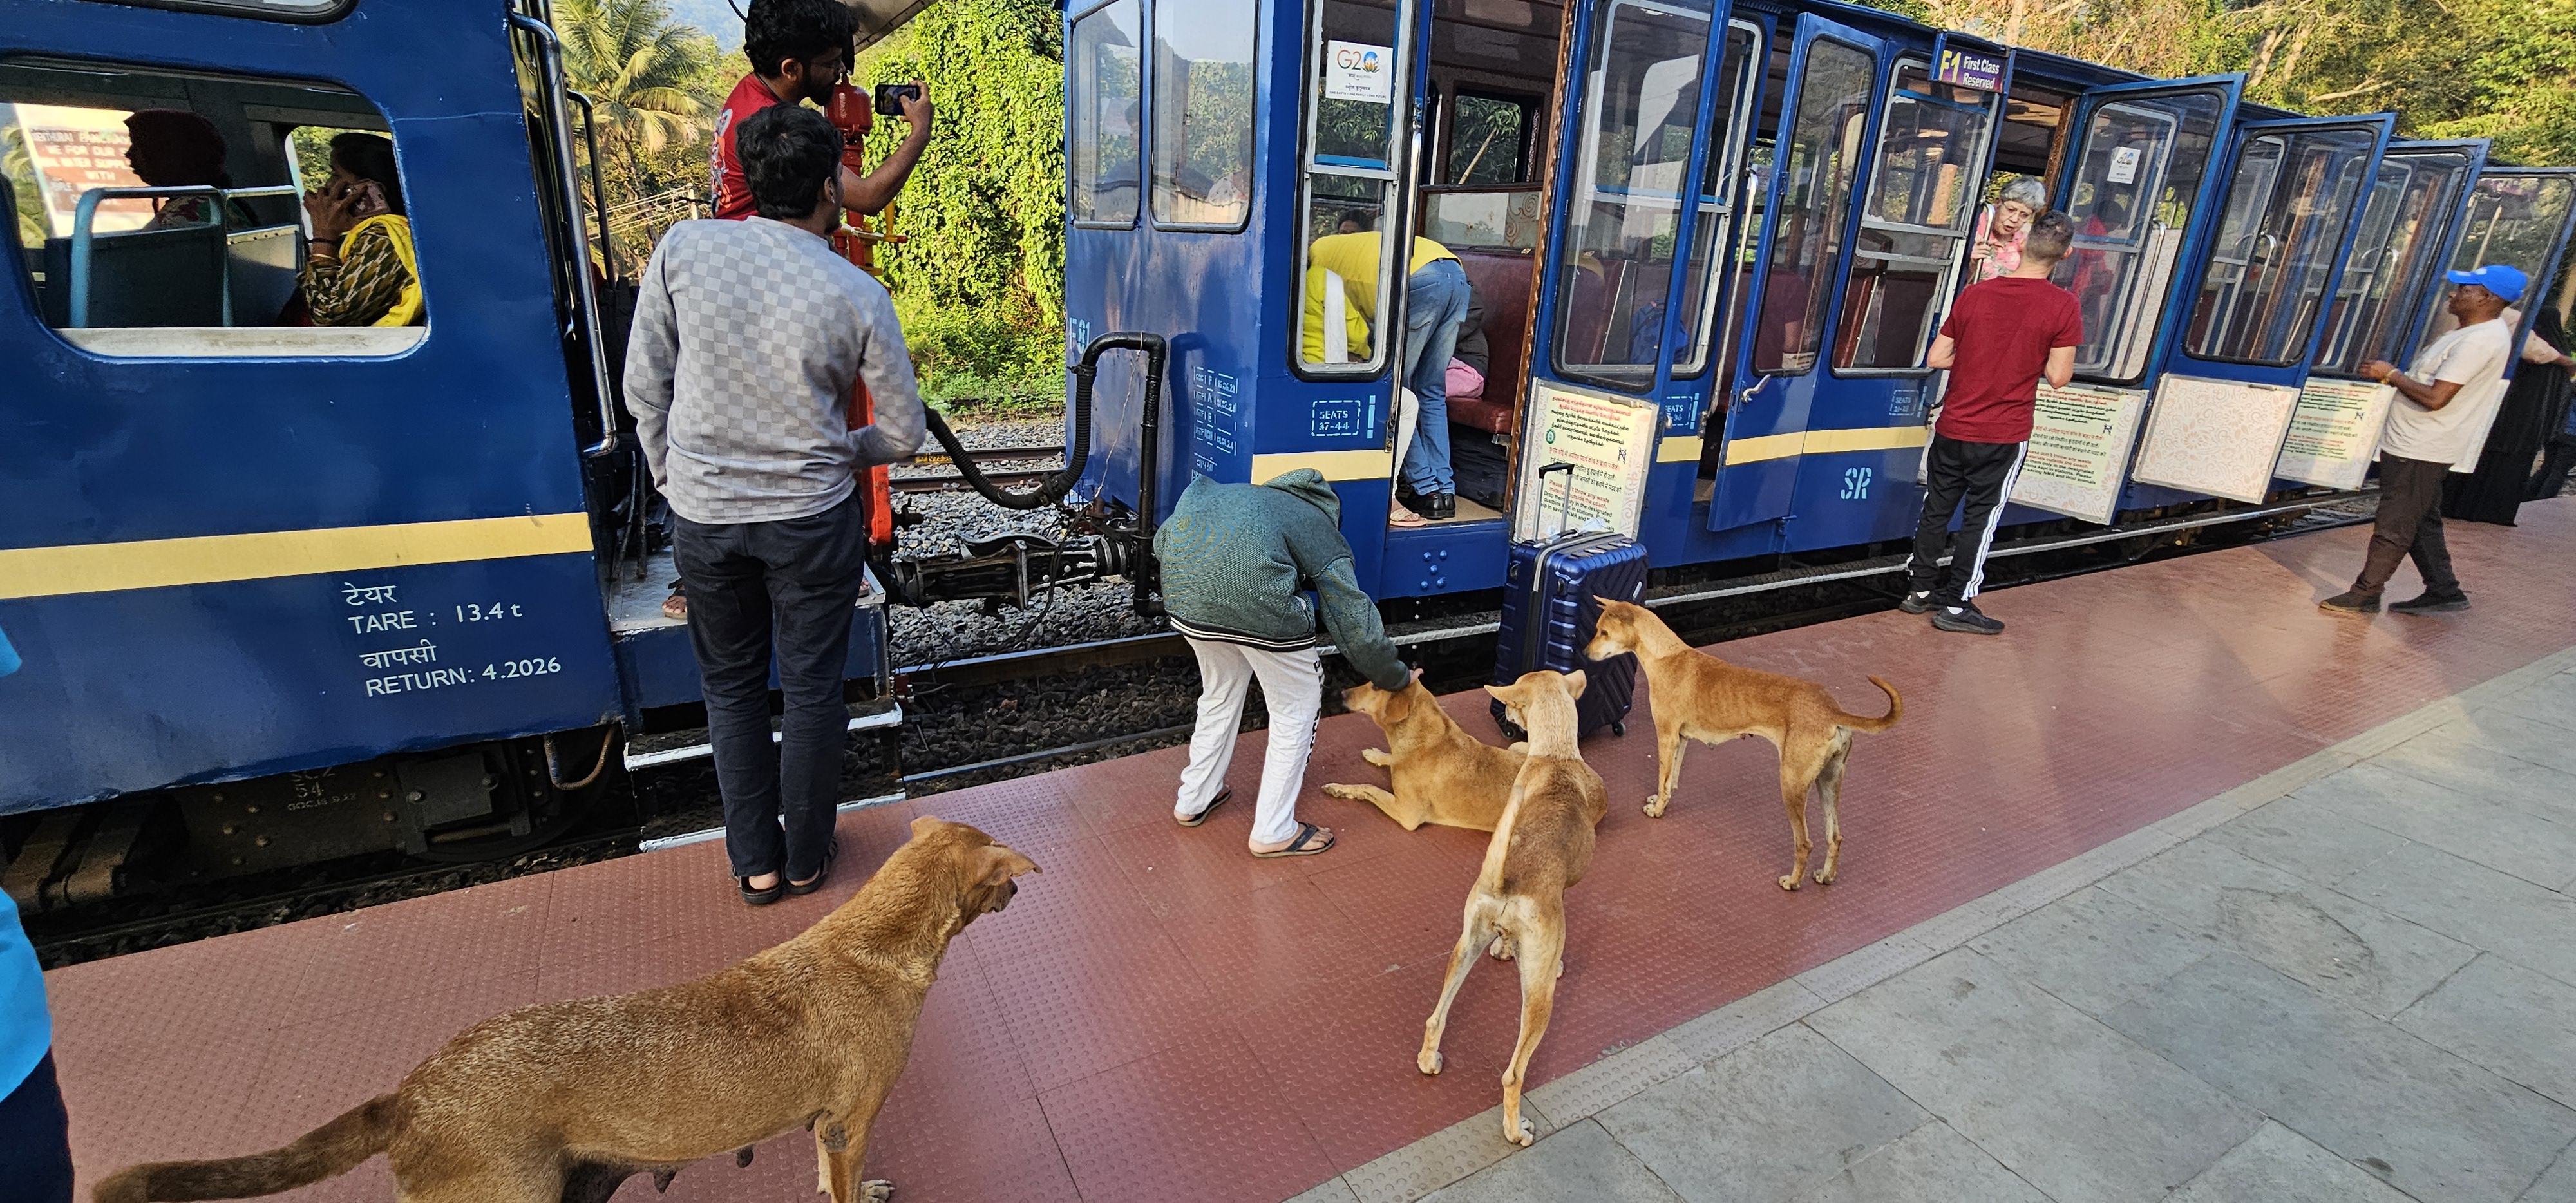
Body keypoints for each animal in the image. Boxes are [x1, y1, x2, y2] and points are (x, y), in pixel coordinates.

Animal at [93, 819, 1036, 1203]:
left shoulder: (823, 1127)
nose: (1026, 889)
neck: (873, 938)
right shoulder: (851, 1119)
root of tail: (407, 1094)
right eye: (1005, 878)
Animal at [1329, 670, 1525, 840]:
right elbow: (1390, 760)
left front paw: (1340, 789)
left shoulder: (1407, 813)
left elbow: (1369, 787)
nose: (1342, 693)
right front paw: (1376, 756)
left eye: (1375, 687)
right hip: (1515, 746)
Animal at [1422, 670, 1597, 1149]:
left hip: (1464, 946)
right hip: (1539, 998)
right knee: (1513, 1075)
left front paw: (1504, 951)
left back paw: (1429, 1061)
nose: (1504, 714)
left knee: (1435, 1018)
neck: (1554, 755)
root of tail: (1506, 881)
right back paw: (1516, 1131)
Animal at [1577, 603, 1906, 896]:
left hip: (1792, 785)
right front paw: (1662, 801)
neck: (1668, 655)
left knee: (1804, 843)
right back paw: (1826, 876)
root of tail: (1831, 709)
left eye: (1604, 632)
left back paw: (1793, 882)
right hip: (1828, 782)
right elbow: (1672, 781)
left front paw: (1656, 810)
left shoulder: (1667, 736)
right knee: (1834, 836)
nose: (1584, 654)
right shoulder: (1681, 739)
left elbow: (1662, 776)